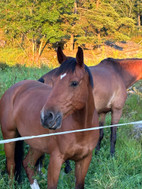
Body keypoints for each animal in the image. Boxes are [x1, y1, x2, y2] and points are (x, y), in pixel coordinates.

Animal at [0, 47, 99, 188]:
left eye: (74, 83)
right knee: (11, 166)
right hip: (9, 137)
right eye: (54, 81)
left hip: (37, 145)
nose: (46, 117)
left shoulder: (84, 160)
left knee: (27, 164)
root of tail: (14, 89)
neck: (81, 129)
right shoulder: (56, 160)